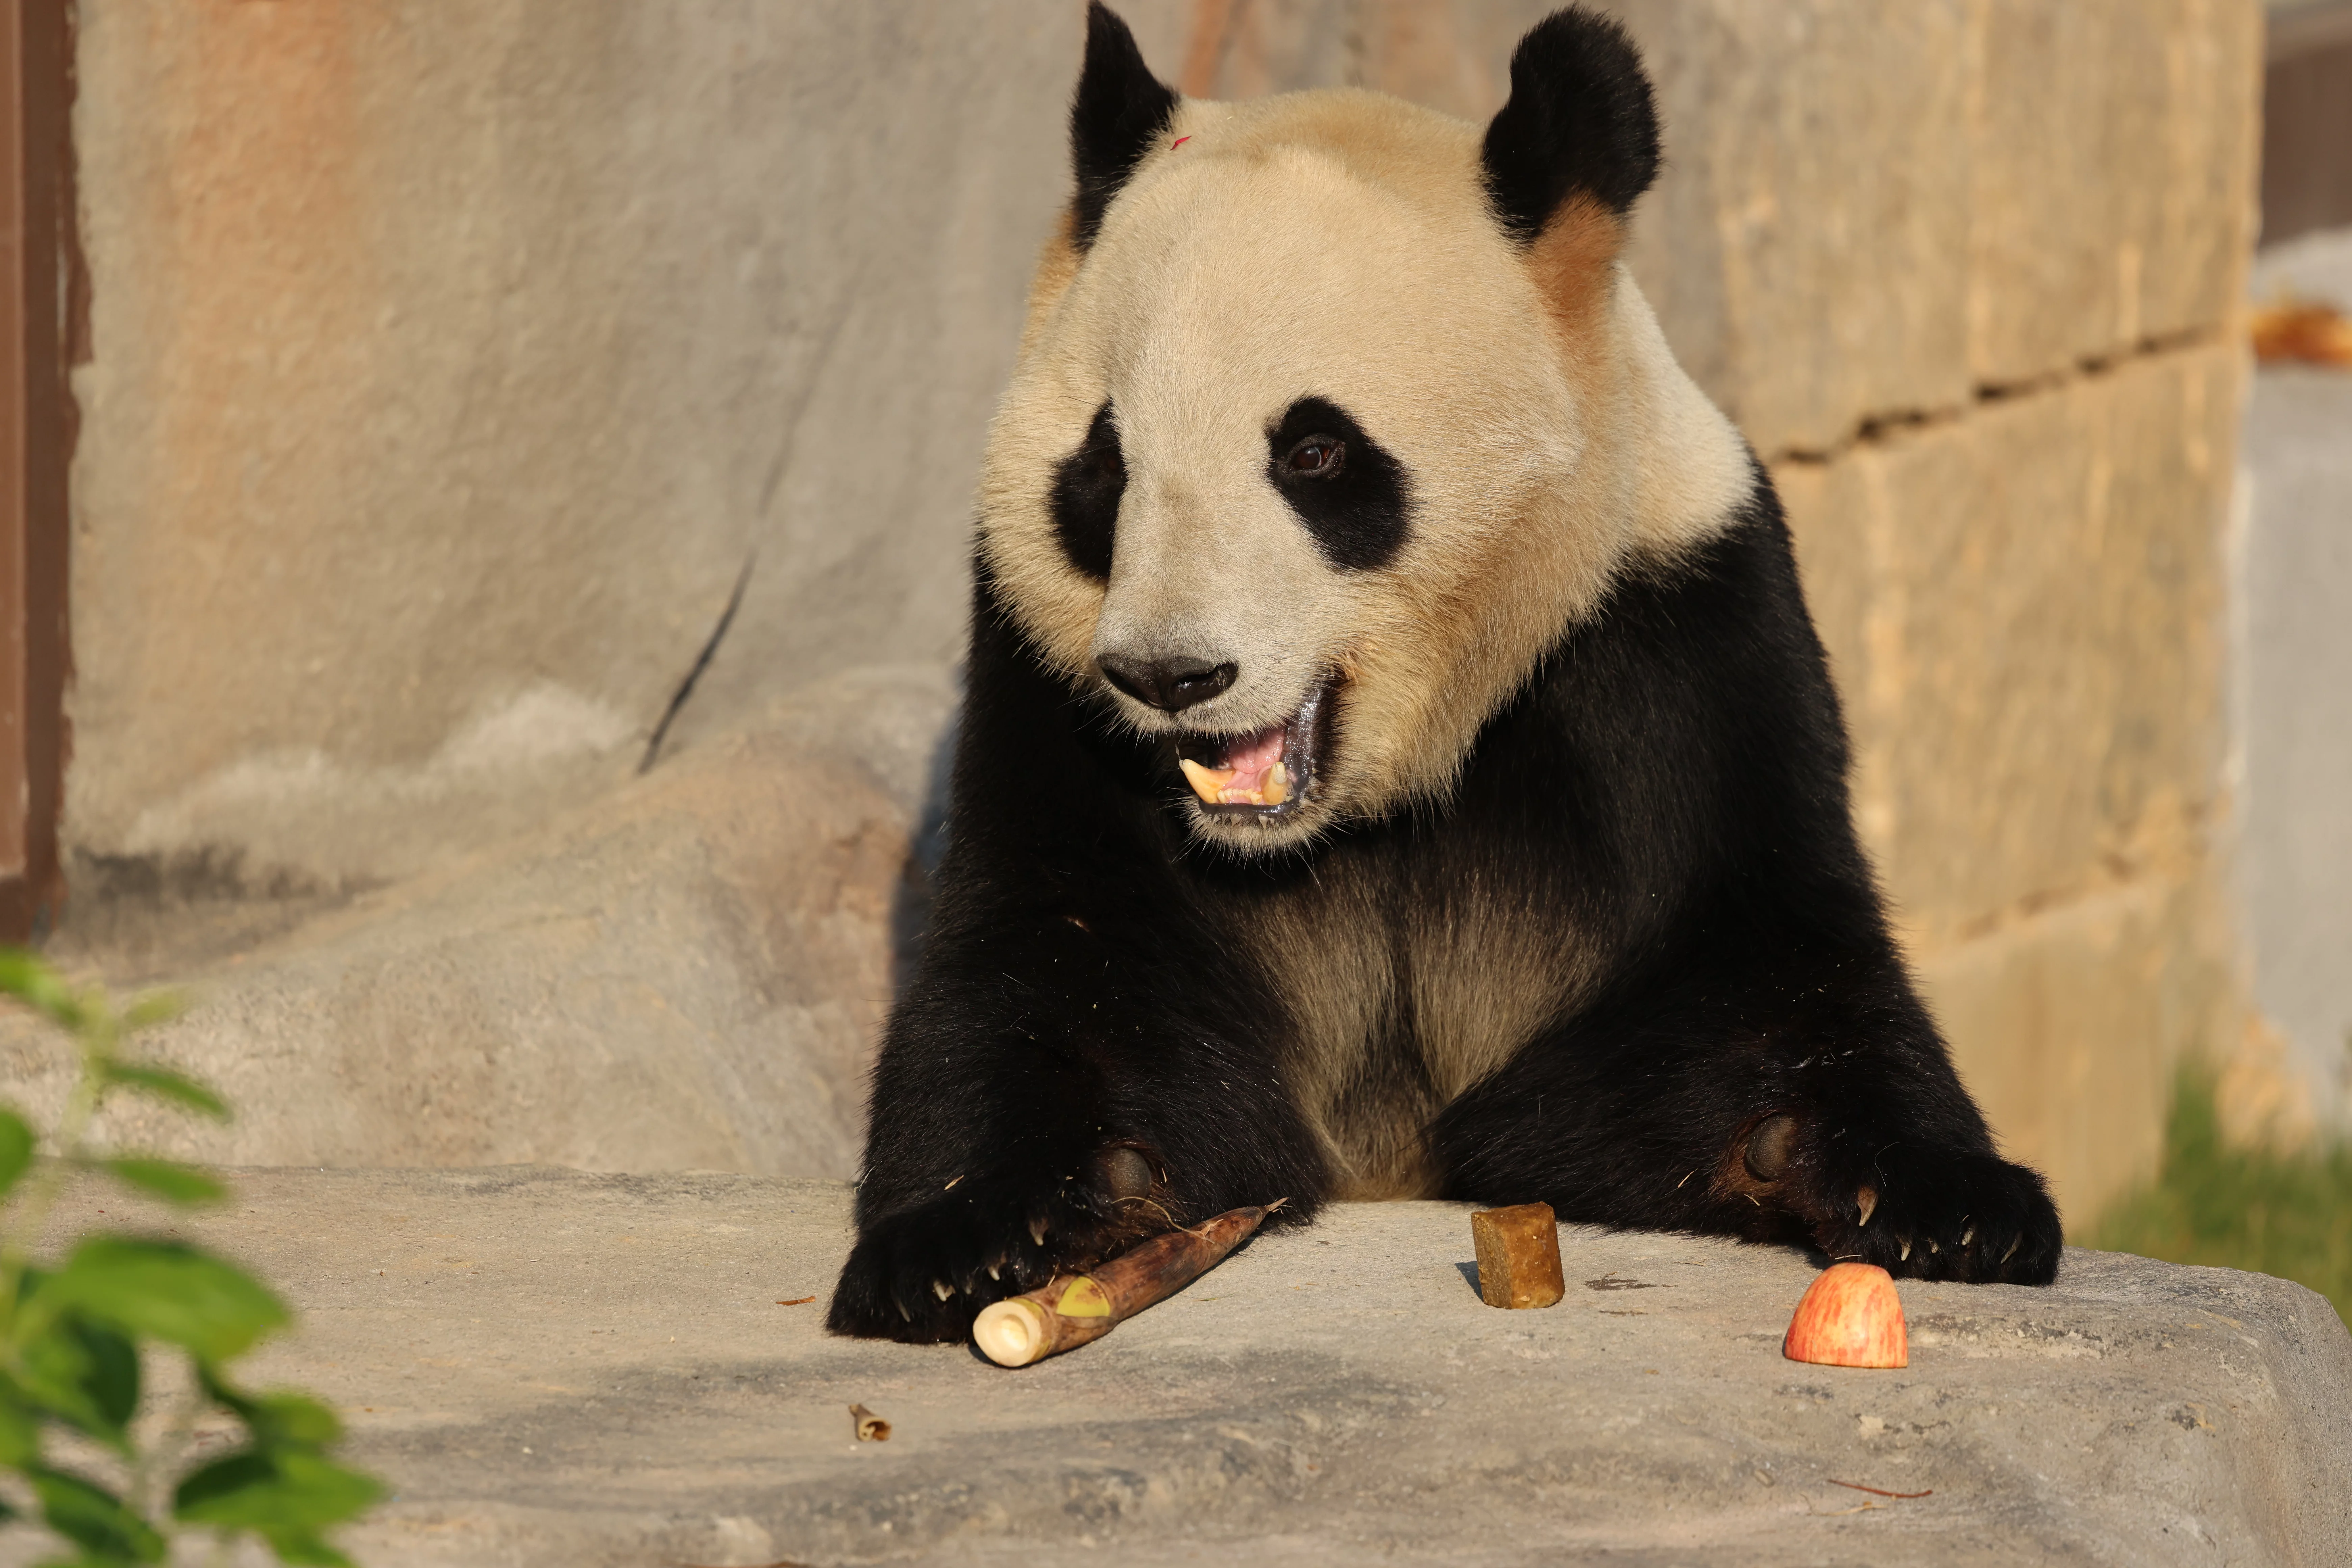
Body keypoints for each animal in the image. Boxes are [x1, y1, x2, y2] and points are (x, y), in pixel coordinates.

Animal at [828, 2, 2062, 1342]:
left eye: (1316, 452)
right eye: (1102, 466)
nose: (1169, 674)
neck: (1369, 795)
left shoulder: (1672, 642)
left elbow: (1755, 973)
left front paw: (1942, 1200)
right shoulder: (1046, 690)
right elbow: (1048, 961)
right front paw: (963, 1237)